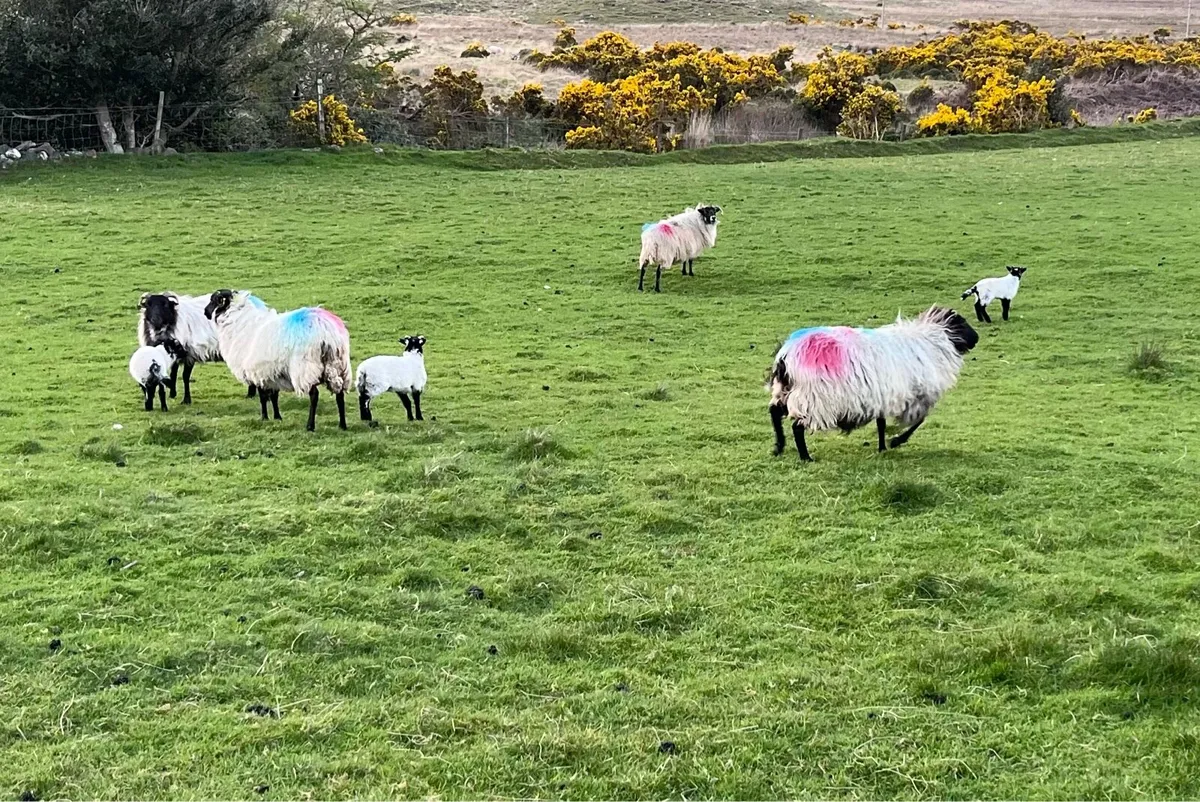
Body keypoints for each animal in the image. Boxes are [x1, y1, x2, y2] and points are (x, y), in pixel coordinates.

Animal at [204, 290, 352, 431]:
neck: (240, 323)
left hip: (306, 368)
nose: (205, 312)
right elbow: (274, 396)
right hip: (338, 366)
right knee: (340, 395)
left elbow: (263, 397)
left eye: (214, 300)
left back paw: (310, 426)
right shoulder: (273, 373)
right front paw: (277, 417)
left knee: (314, 395)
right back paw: (342, 425)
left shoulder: (257, 371)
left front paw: (264, 417)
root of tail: (327, 332)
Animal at [766, 306, 979, 461]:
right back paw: (805, 457)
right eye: (963, 322)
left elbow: (881, 423)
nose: (977, 338)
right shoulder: (916, 396)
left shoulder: (883, 396)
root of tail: (786, 356)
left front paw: (883, 447)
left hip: (785, 390)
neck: (933, 343)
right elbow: (919, 421)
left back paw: (779, 447)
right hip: (814, 398)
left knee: (774, 412)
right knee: (797, 426)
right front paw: (896, 441)